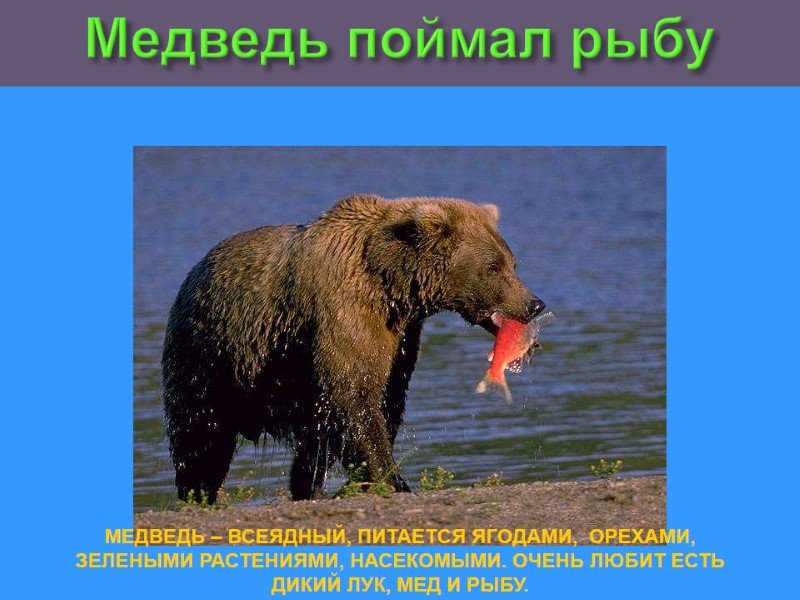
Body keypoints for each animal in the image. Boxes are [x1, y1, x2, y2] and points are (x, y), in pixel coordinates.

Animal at [162, 194, 545, 502]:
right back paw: (198, 493)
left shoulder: (400, 336)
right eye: (493, 267)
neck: (392, 285)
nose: (534, 303)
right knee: (200, 434)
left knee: (311, 442)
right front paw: (393, 480)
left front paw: (363, 480)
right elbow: (355, 396)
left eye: (512, 263)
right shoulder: (345, 313)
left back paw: (305, 487)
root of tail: (195, 271)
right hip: (210, 355)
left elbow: (385, 398)